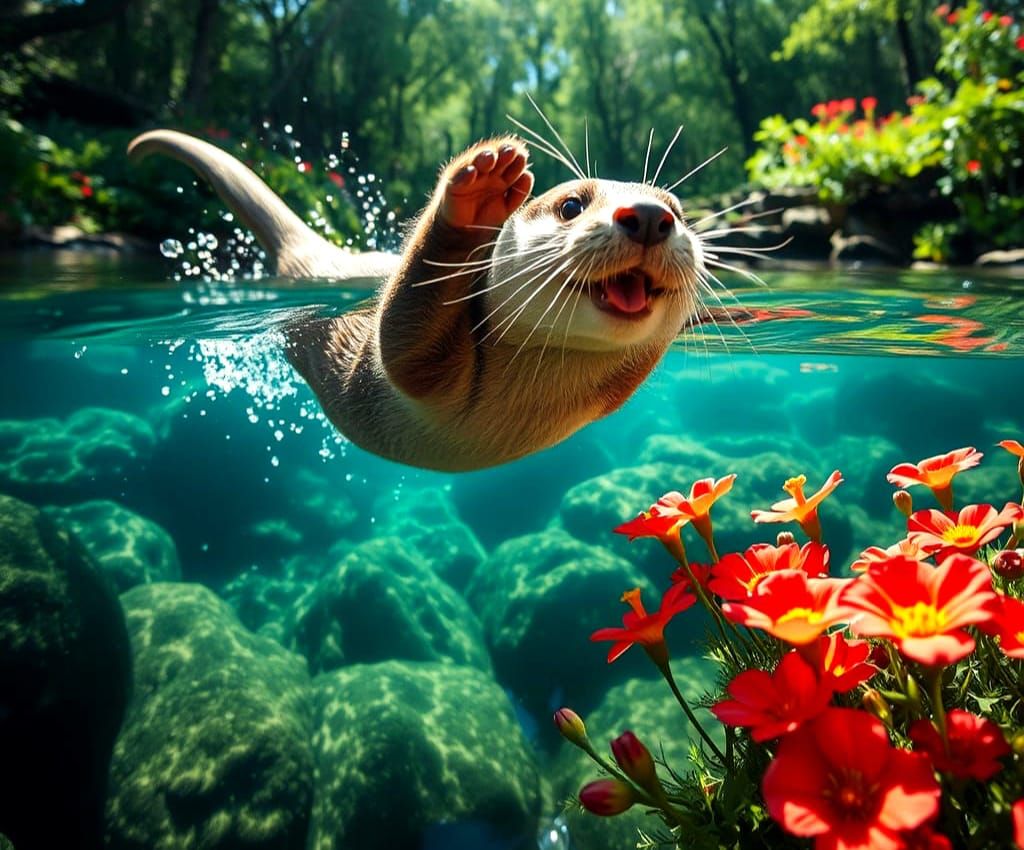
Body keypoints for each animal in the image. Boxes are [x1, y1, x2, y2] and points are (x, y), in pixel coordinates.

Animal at [128, 130, 705, 471]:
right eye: (571, 205)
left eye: (678, 212)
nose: (649, 216)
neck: (534, 387)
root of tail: (322, 256)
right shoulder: (407, 369)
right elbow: (403, 337)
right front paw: (478, 198)